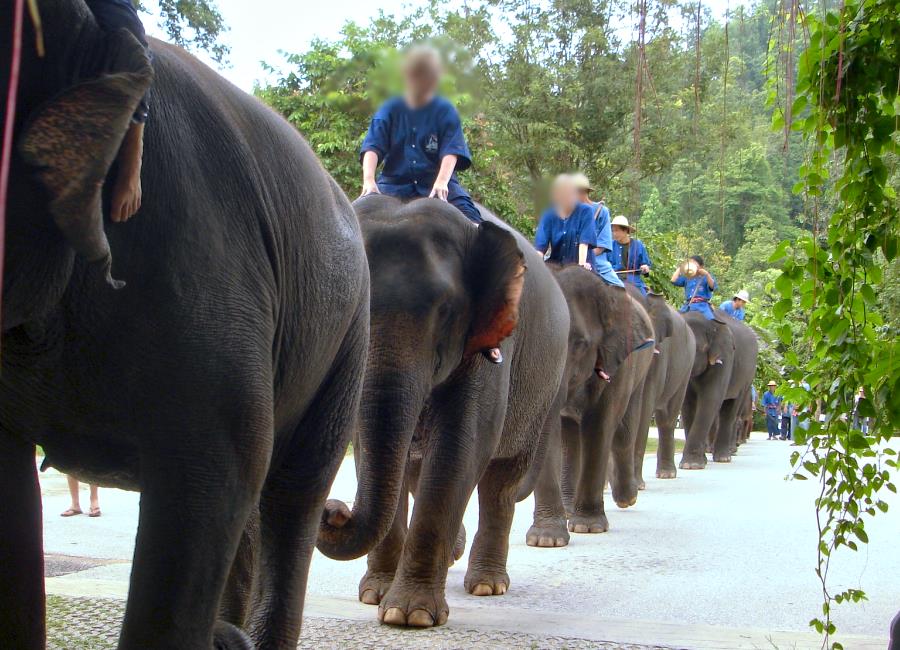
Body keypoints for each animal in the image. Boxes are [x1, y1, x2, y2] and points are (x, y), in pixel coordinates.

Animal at [316, 196, 569, 628]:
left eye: (446, 311)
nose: (334, 510)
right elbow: (369, 445)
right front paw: (374, 596)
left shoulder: (490, 343)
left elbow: (460, 445)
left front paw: (408, 615)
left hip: (542, 387)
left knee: (501, 480)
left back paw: (487, 585)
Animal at [524, 267, 655, 547]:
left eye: (580, 343)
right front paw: (546, 540)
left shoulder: (616, 359)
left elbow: (599, 425)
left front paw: (588, 527)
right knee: (569, 438)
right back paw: (568, 510)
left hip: (642, 362)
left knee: (623, 431)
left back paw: (626, 498)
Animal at [631, 294, 696, 486]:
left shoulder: (657, 356)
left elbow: (643, 409)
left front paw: (637, 486)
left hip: (685, 371)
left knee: (666, 419)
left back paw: (667, 474)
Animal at [679, 311, 759, 468]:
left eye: (696, 348)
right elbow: (688, 404)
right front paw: (695, 463)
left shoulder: (726, 357)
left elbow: (710, 398)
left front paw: (692, 465)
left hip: (747, 379)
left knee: (731, 411)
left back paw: (724, 457)